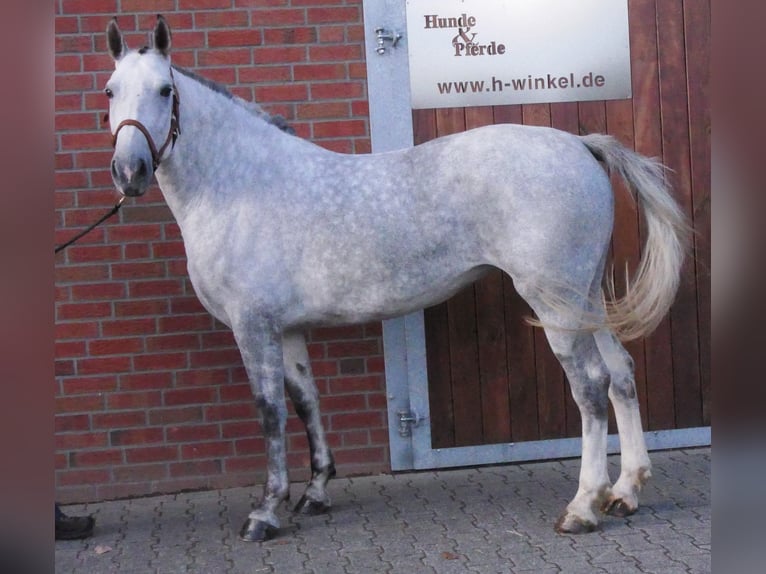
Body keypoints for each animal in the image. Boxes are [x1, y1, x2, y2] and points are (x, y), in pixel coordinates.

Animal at [104, 16, 689, 542]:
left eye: (164, 90)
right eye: (110, 91)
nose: (129, 171)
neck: (241, 185)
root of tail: (579, 144)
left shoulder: (254, 327)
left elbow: (270, 414)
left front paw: (265, 515)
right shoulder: (287, 330)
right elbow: (306, 402)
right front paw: (315, 493)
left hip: (556, 303)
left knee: (590, 387)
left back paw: (583, 507)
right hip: (586, 297)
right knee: (621, 374)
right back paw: (625, 492)